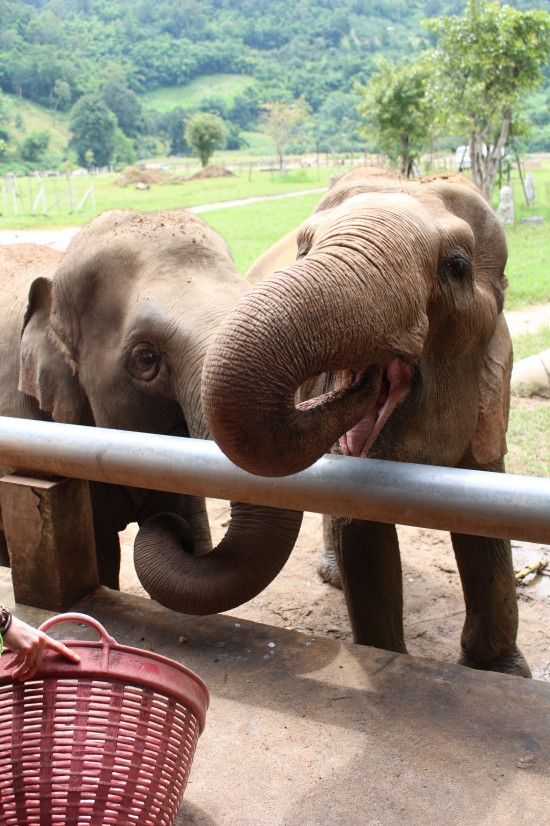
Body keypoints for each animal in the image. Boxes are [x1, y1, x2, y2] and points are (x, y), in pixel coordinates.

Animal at [205, 164, 532, 672]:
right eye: (305, 250)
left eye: (457, 266)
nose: (365, 381)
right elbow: (362, 532)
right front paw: (390, 658)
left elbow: (488, 513)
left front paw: (500, 669)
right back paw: (333, 574)